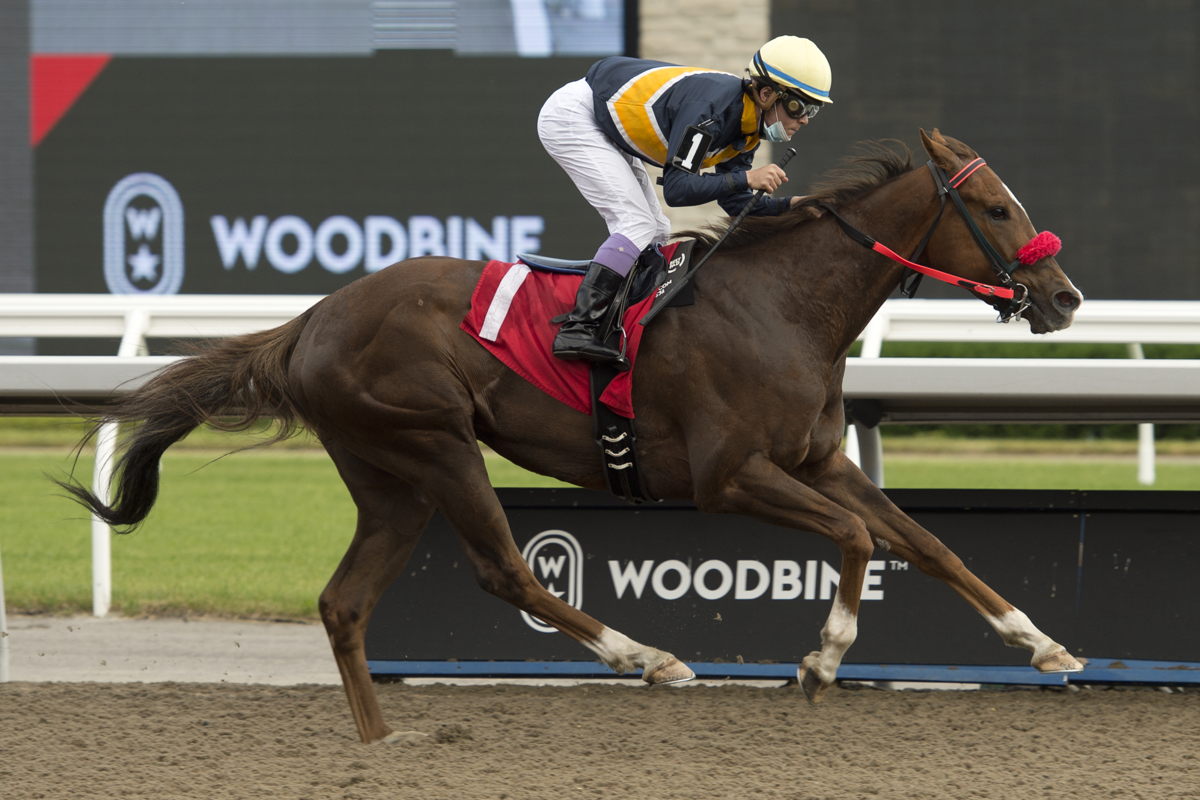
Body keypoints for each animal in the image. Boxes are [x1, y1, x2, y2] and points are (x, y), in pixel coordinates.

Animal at [58, 130, 1089, 743]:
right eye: (996, 209)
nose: (1065, 296)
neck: (784, 305)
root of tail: (312, 318)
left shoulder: (818, 459)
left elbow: (925, 542)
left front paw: (1044, 645)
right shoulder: (728, 476)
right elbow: (857, 538)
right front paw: (820, 660)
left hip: (389, 476)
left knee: (343, 603)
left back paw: (382, 743)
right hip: (437, 446)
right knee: (507, 571)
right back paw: (649, 658)